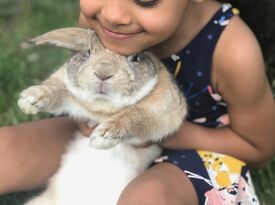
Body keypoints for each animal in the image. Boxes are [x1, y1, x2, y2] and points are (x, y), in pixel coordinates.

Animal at [18, 27, 189, 205]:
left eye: (136, 57)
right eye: (88, 51)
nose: (103, 73)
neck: (104, 109)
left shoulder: (160, 111)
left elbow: (134, 114)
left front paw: (101, 137)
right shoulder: (65, 86)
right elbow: (55, 89)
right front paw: (29, 100)